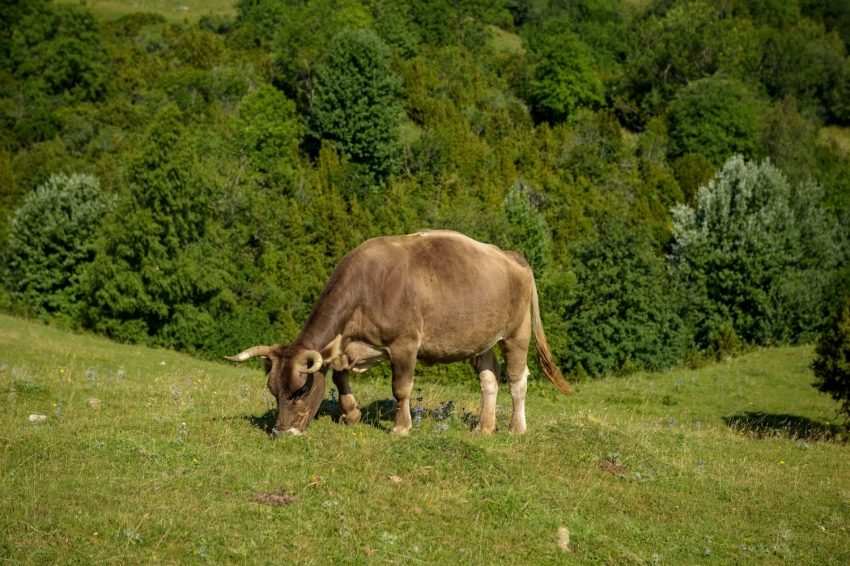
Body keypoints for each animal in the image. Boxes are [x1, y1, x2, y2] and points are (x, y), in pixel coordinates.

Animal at [225, 231, 568, 440]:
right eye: (273, 390)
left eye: (299, 391)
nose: (281, 432)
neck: (367, 288)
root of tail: (510, 256)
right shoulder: (348, 346)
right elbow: (338, 376)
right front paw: (351, 414)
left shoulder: (404, 345)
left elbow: (401, 389)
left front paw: (400, 428)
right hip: (482, 339)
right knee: (490, 378)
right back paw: (483, 428)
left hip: (516, 334)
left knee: (518, 379)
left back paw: (515, 428)